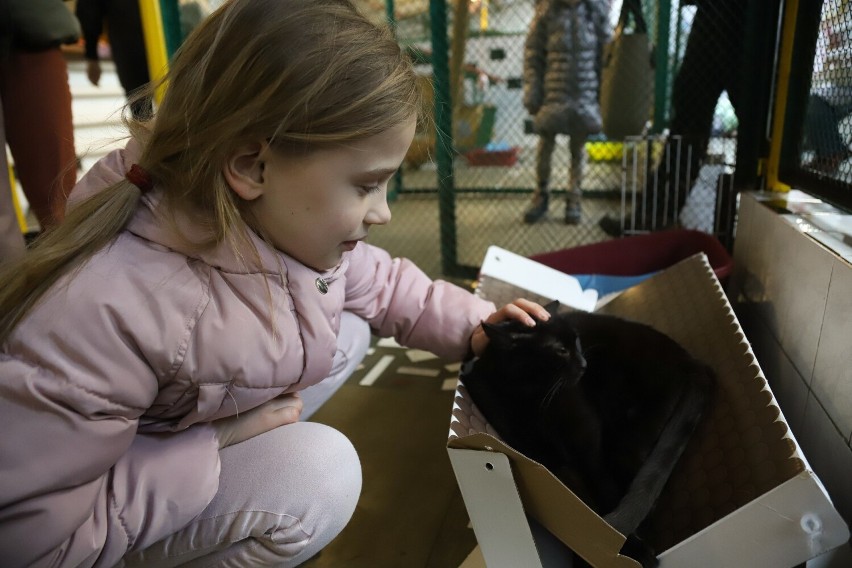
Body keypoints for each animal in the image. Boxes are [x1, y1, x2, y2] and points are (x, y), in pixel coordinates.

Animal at [462, 302, 716, 564]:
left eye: (577, 341)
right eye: (561, 350)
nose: (584, 363)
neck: (531, 394)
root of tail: (691, 361)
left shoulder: (585, 435)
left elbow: (600, 488)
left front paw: (622, 545)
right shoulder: (540, 457)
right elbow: (576, 499)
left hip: (628, 438)